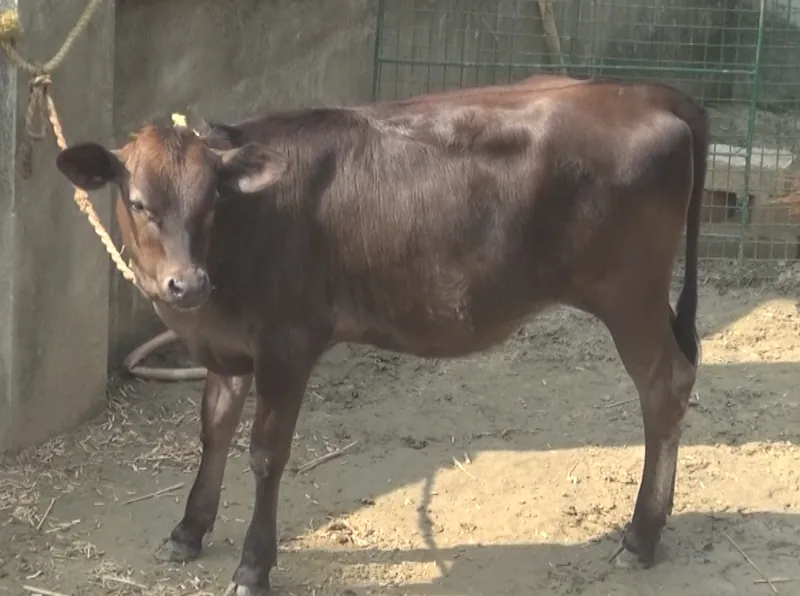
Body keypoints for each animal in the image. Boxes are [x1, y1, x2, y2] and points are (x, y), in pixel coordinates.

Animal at [55, 74, 707, 595]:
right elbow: (213, 429)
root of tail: (641, 91)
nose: (186, 284)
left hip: (630, 295)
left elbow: (266, 453)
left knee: (666, 385)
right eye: (140, 203)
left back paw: (642, 535)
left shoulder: (289, 341)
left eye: (211, 198)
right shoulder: (229, 344)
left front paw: (253, 565)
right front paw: (189, 530)